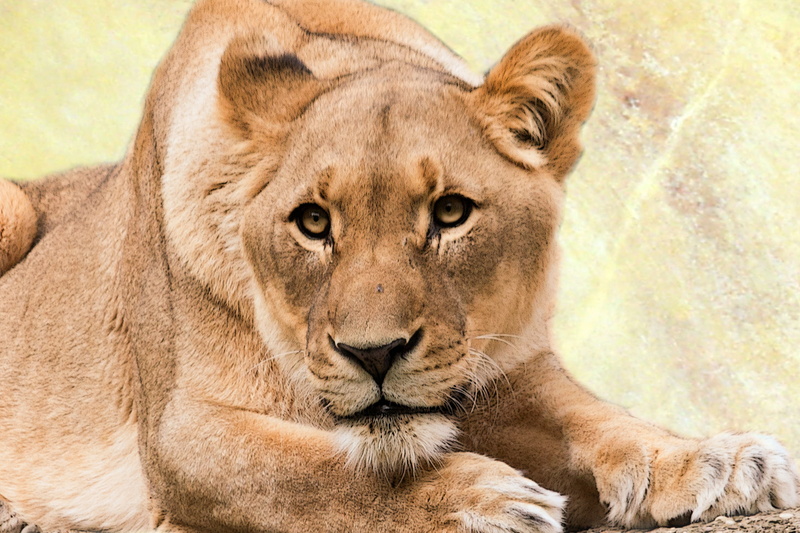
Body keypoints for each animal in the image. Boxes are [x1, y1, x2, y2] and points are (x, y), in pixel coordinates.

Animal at [0, 0, 797, 532]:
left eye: (450, 212)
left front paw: (716, 463)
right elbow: (319, 475)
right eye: (313, 222)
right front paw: (487, 502)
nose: (374, 353)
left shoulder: (510, 366)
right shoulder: (180, 434)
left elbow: (597, 416)